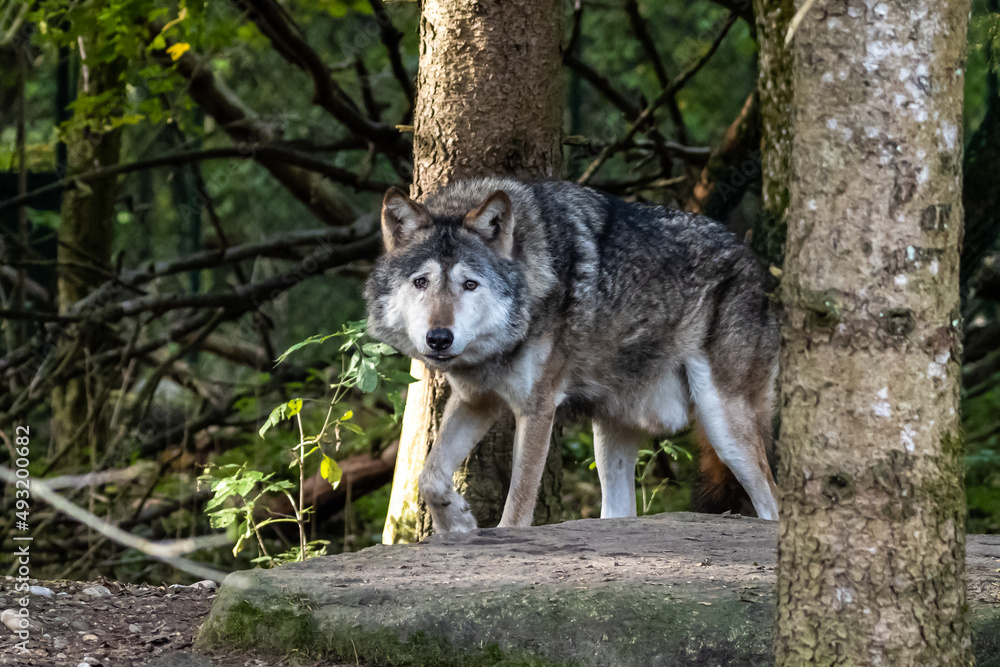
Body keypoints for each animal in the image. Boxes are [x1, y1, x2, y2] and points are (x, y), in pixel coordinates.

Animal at [364, 177, 780, 533]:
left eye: (470, 284)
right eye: (421, 282)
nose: (439, 339)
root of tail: (755, 262)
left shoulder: (538, 408)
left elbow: (517, 508)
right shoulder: (476, 400)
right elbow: (429, 476)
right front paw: (457, 522)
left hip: (723, 427)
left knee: (772, 502)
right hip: (612, 439)